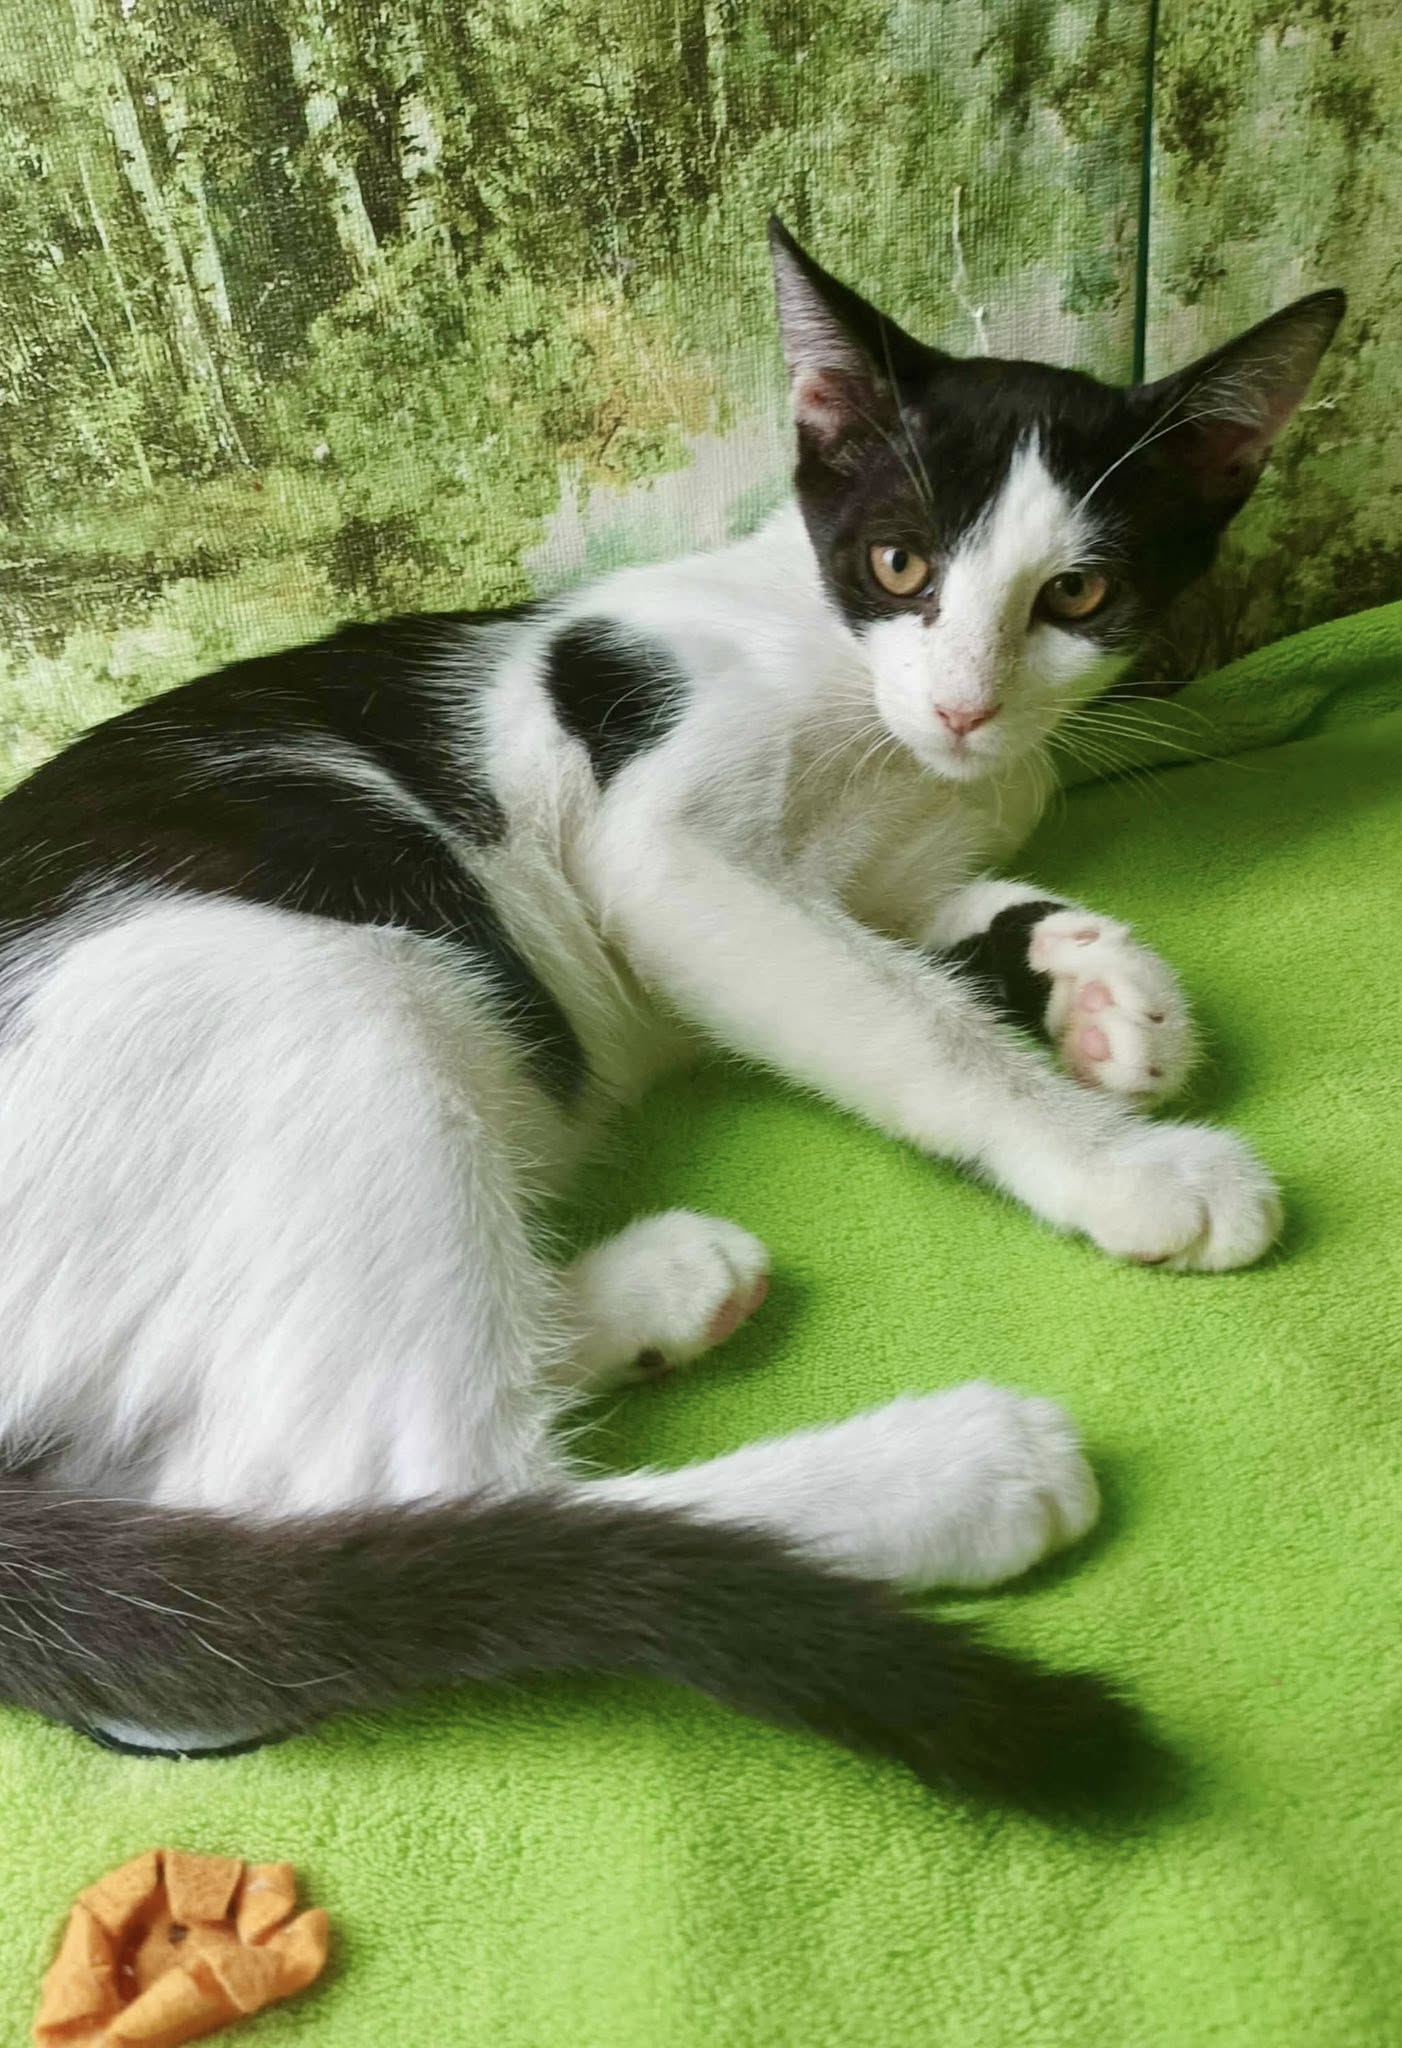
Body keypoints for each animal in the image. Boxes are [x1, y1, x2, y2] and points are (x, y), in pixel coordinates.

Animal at [0, 220, 1341, 1802]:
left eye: (1076, 596)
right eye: (899, 560)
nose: (964, 704)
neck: (862, 698)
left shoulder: (898, 858)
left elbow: (937, 929)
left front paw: (1104, 995)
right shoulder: (667, 856)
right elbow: (903, 1018)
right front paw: (1123, 1160)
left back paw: (642, 1290)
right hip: (311, 988)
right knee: (397, 1495)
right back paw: (953, 1473)